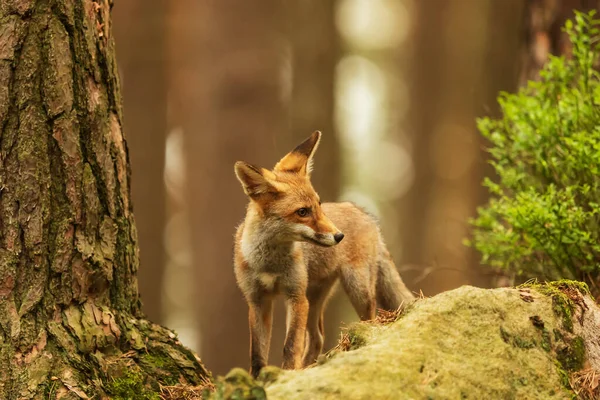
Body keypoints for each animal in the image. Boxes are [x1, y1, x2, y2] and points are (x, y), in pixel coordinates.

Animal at [233, 132, 412, 378]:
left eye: (319, 205)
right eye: (302, 212)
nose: (339, 236)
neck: (270, 263)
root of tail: (363, 212)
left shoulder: (296, 296)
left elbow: (291, 345)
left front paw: (288, 373)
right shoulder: (257, 300)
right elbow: (257, 354)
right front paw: (260, 378)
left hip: (357, 289)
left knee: (369, 320)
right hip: (314, 298)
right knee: (317, 338)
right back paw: (310, 365)